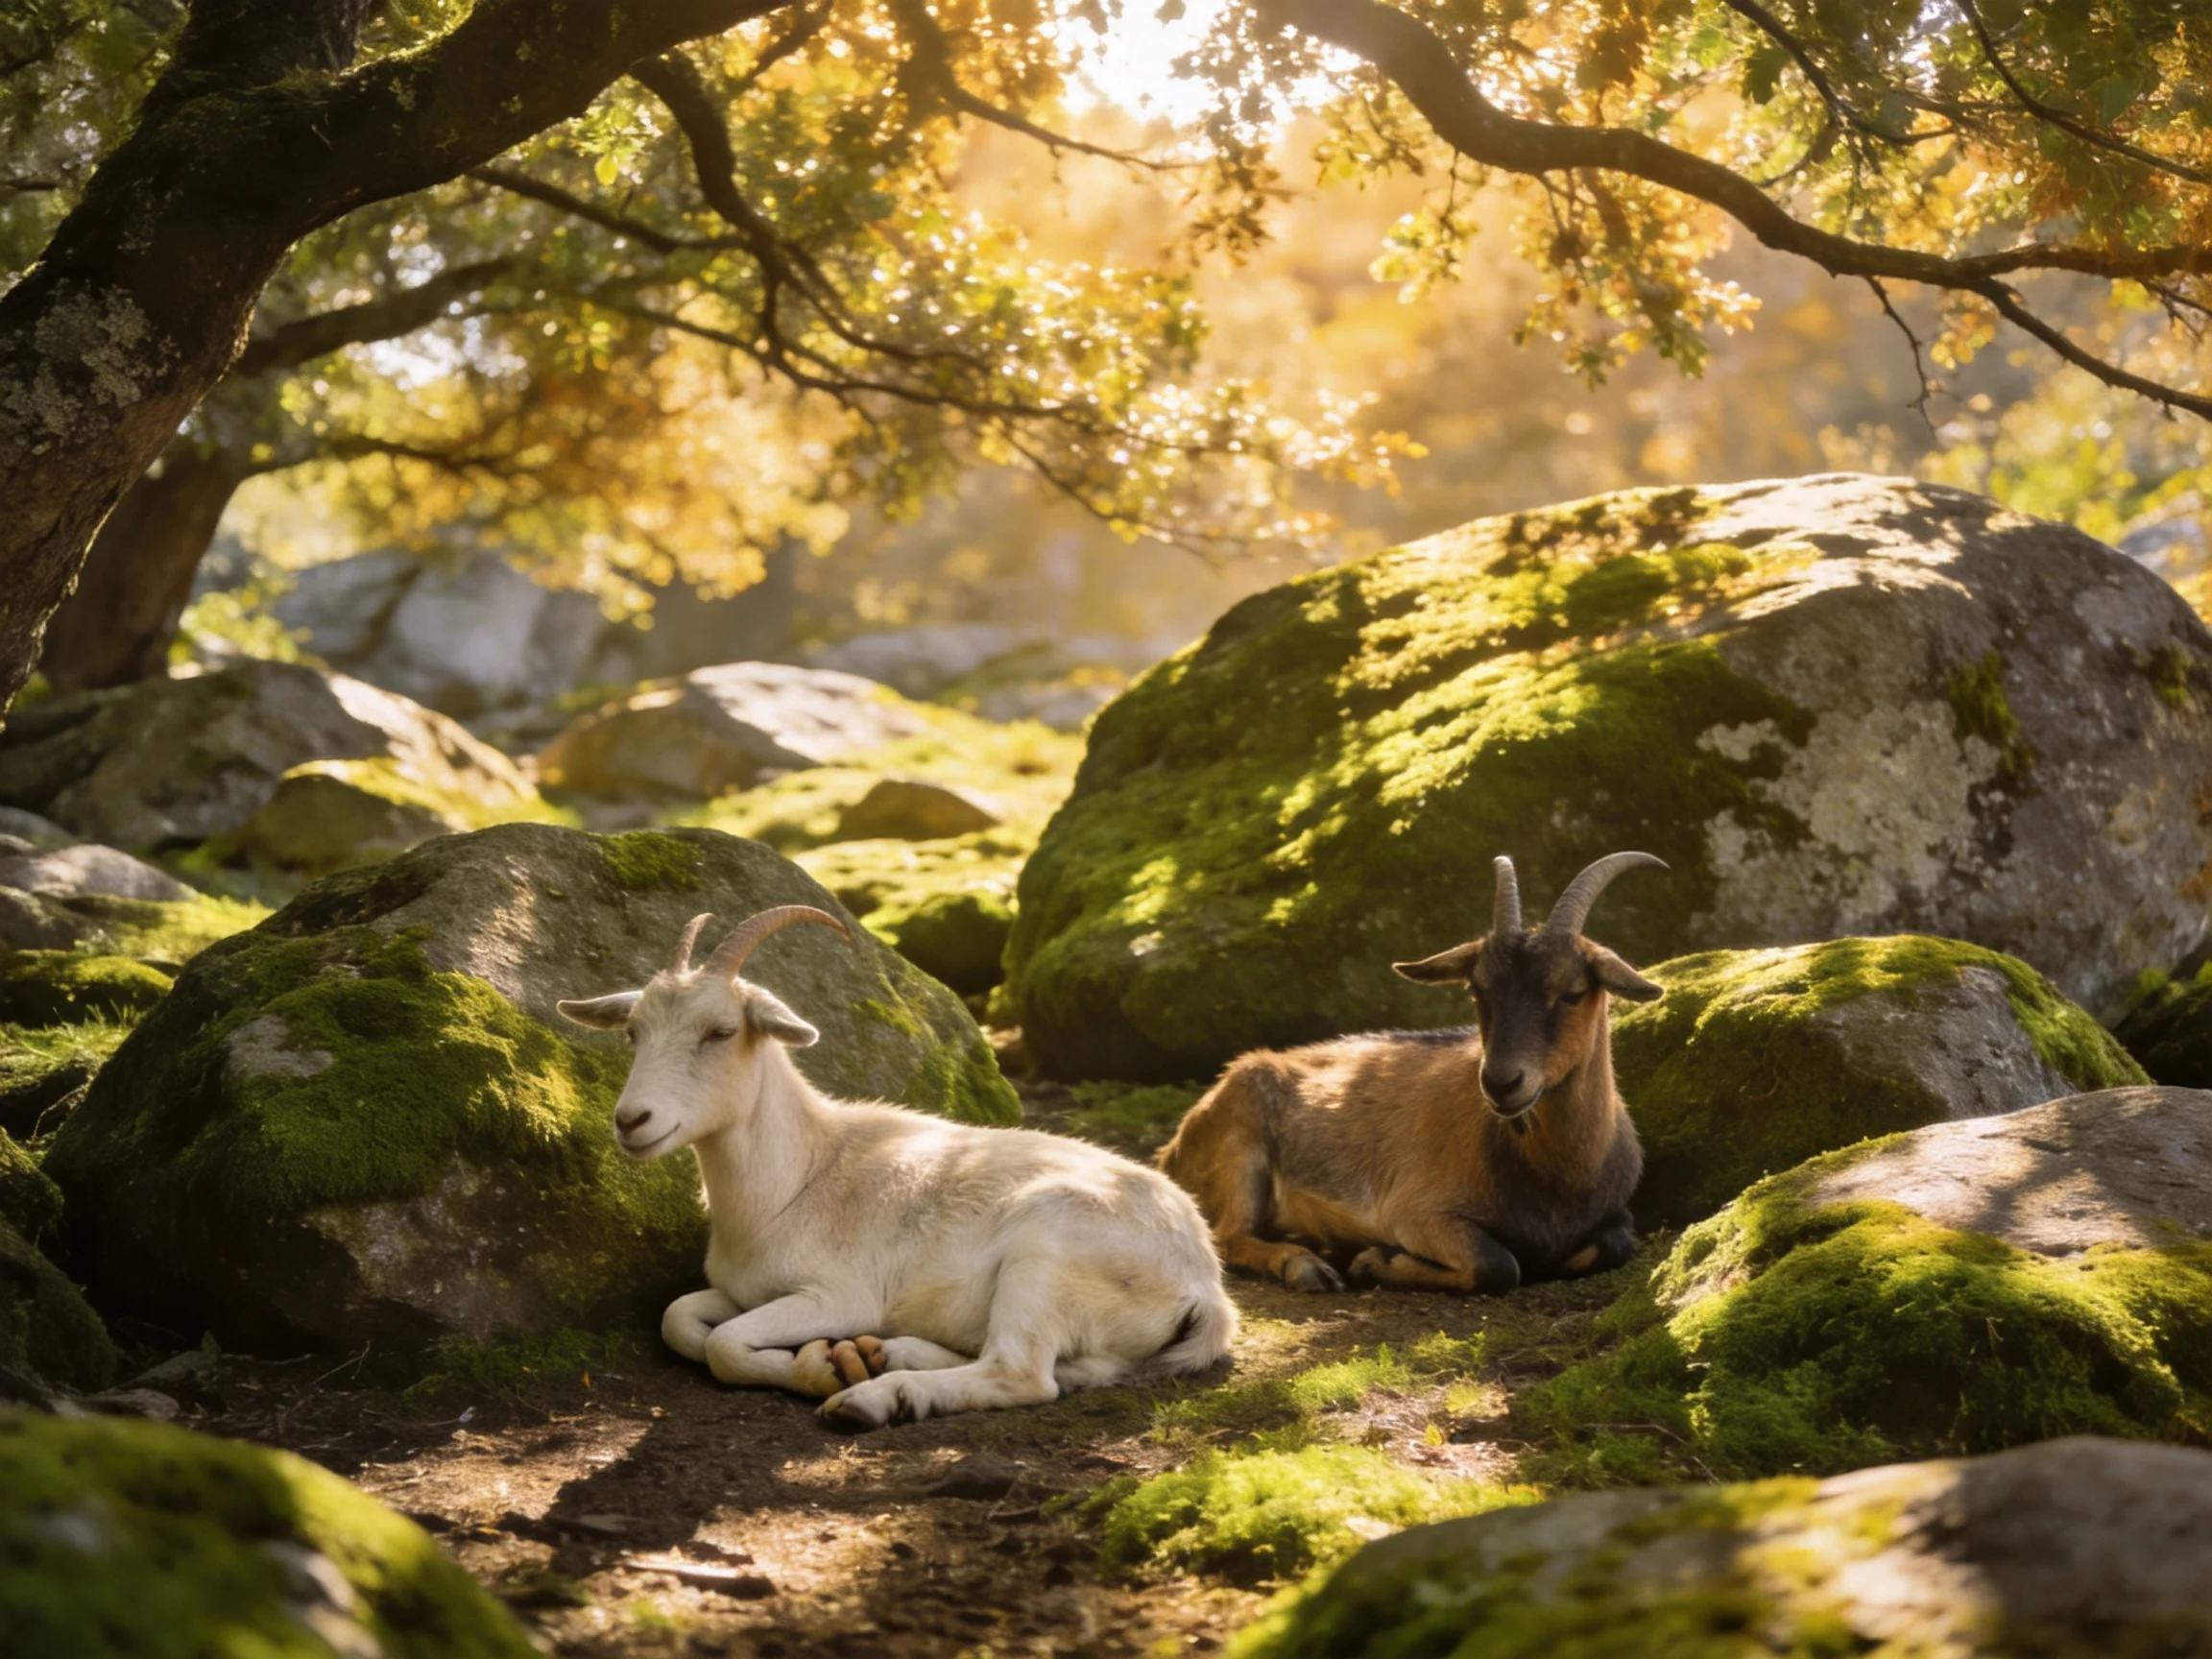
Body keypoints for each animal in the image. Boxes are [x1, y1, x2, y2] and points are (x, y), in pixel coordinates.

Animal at [558, 906, 1236, 1428]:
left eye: (721, 1031)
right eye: (633, 1032)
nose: (632, 1121)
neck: (800, 1177)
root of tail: (1206, 1286)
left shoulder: (840, 1294)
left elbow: (724, 1345)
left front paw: (818, 1369)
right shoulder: (742, 1290)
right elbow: (678, 1319)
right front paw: (830, 1359)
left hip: (1048, 1259)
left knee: (1021, 1375)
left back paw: (875, 1396)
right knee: (1065, 1369)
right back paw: (892, 1355)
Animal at [1156, 853, 1664, 1295]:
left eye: (1573, 992)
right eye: (1478, 989)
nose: (1501, 1083)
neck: (1556, 1177)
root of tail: (1171, 1151)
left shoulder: (1613, 1220)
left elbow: (1612, 1246)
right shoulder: (1418, 1212)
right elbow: (1497, 1264)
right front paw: (1373, 1261)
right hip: (1240, 1148)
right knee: (1228, 1235)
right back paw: (1307, 1266)